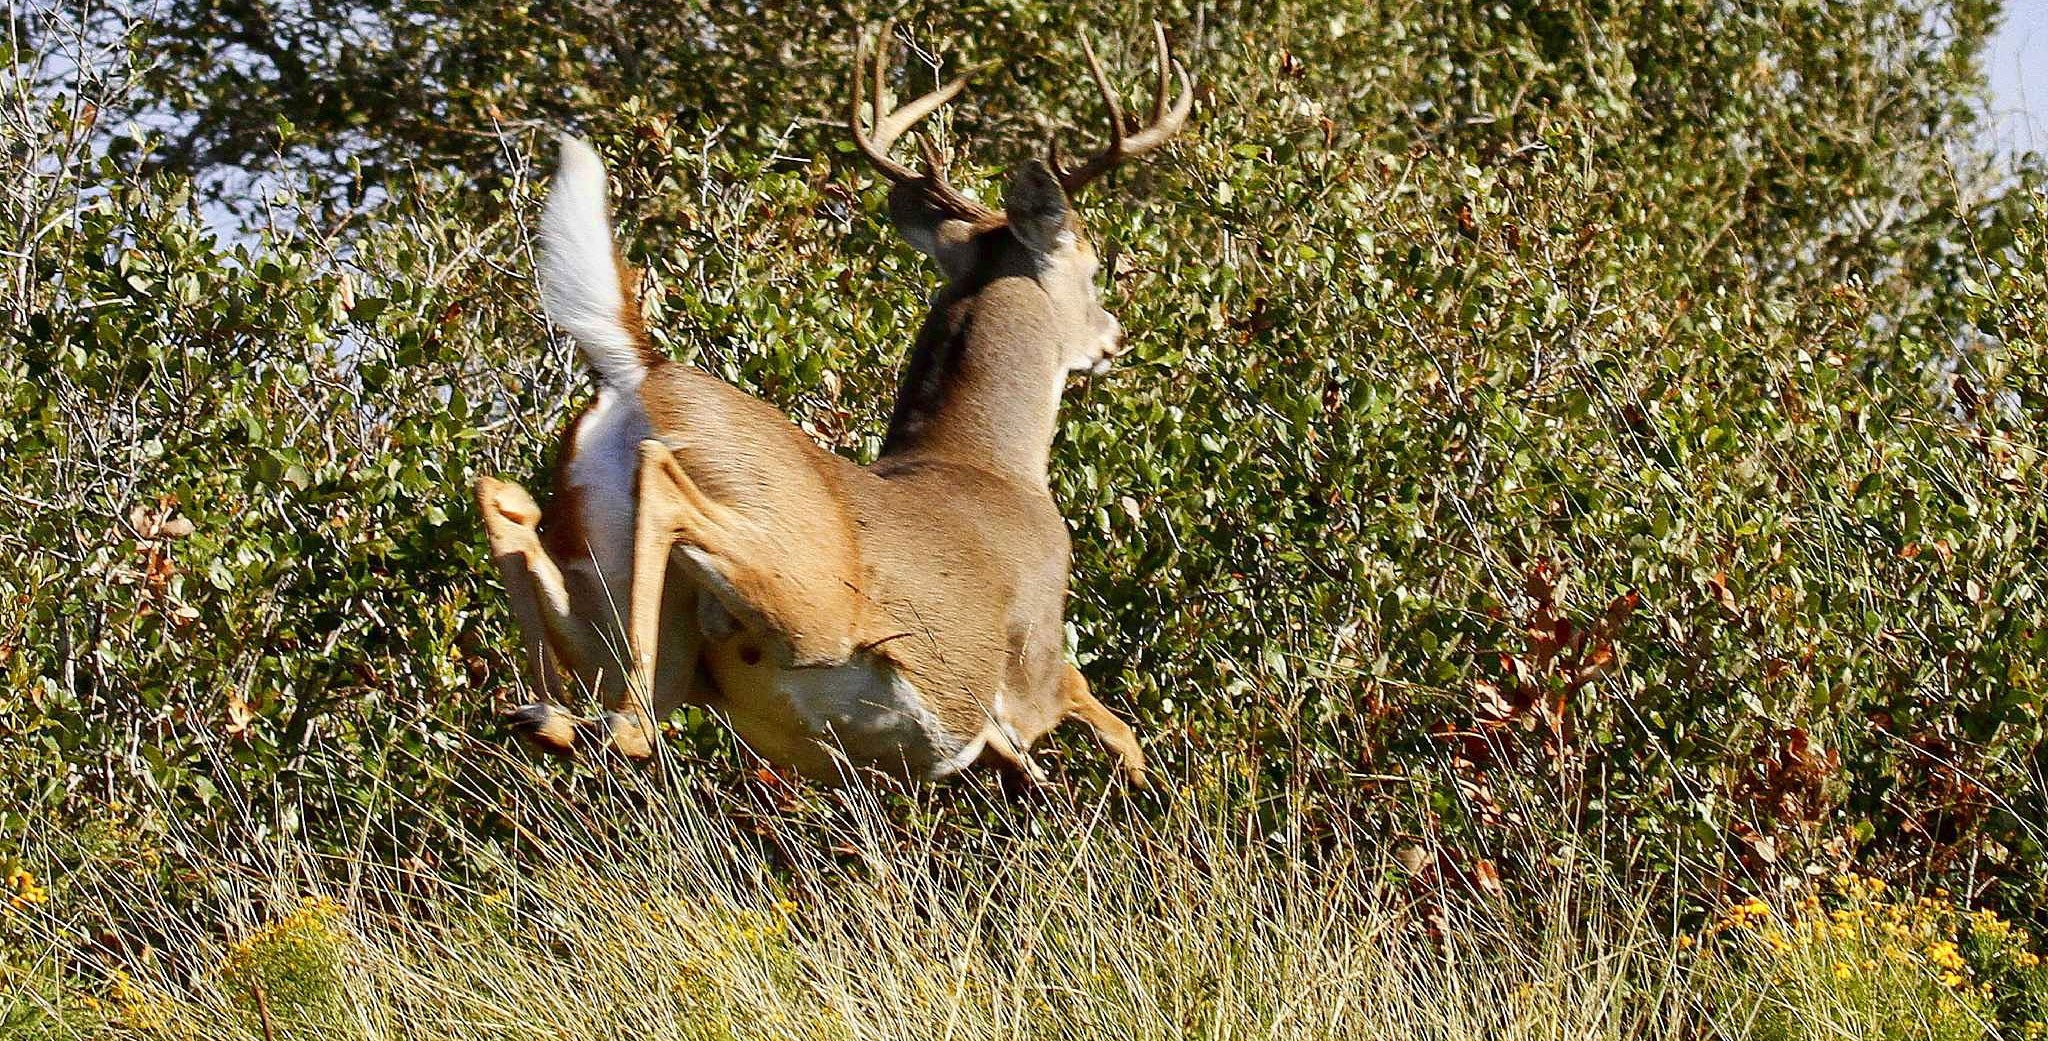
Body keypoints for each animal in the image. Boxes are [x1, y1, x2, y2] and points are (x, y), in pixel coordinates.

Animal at [473, 24, 1196, 782]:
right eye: (1091, 266)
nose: (1114, 335)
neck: (993, 465)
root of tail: (644, 368)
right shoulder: (1033, 670)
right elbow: (1107, 714)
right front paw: (1142, 785)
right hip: (809, 595)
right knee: (659, 504)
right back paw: (601, 720)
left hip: (625, 600)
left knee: (507, 502)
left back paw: (545, 715)